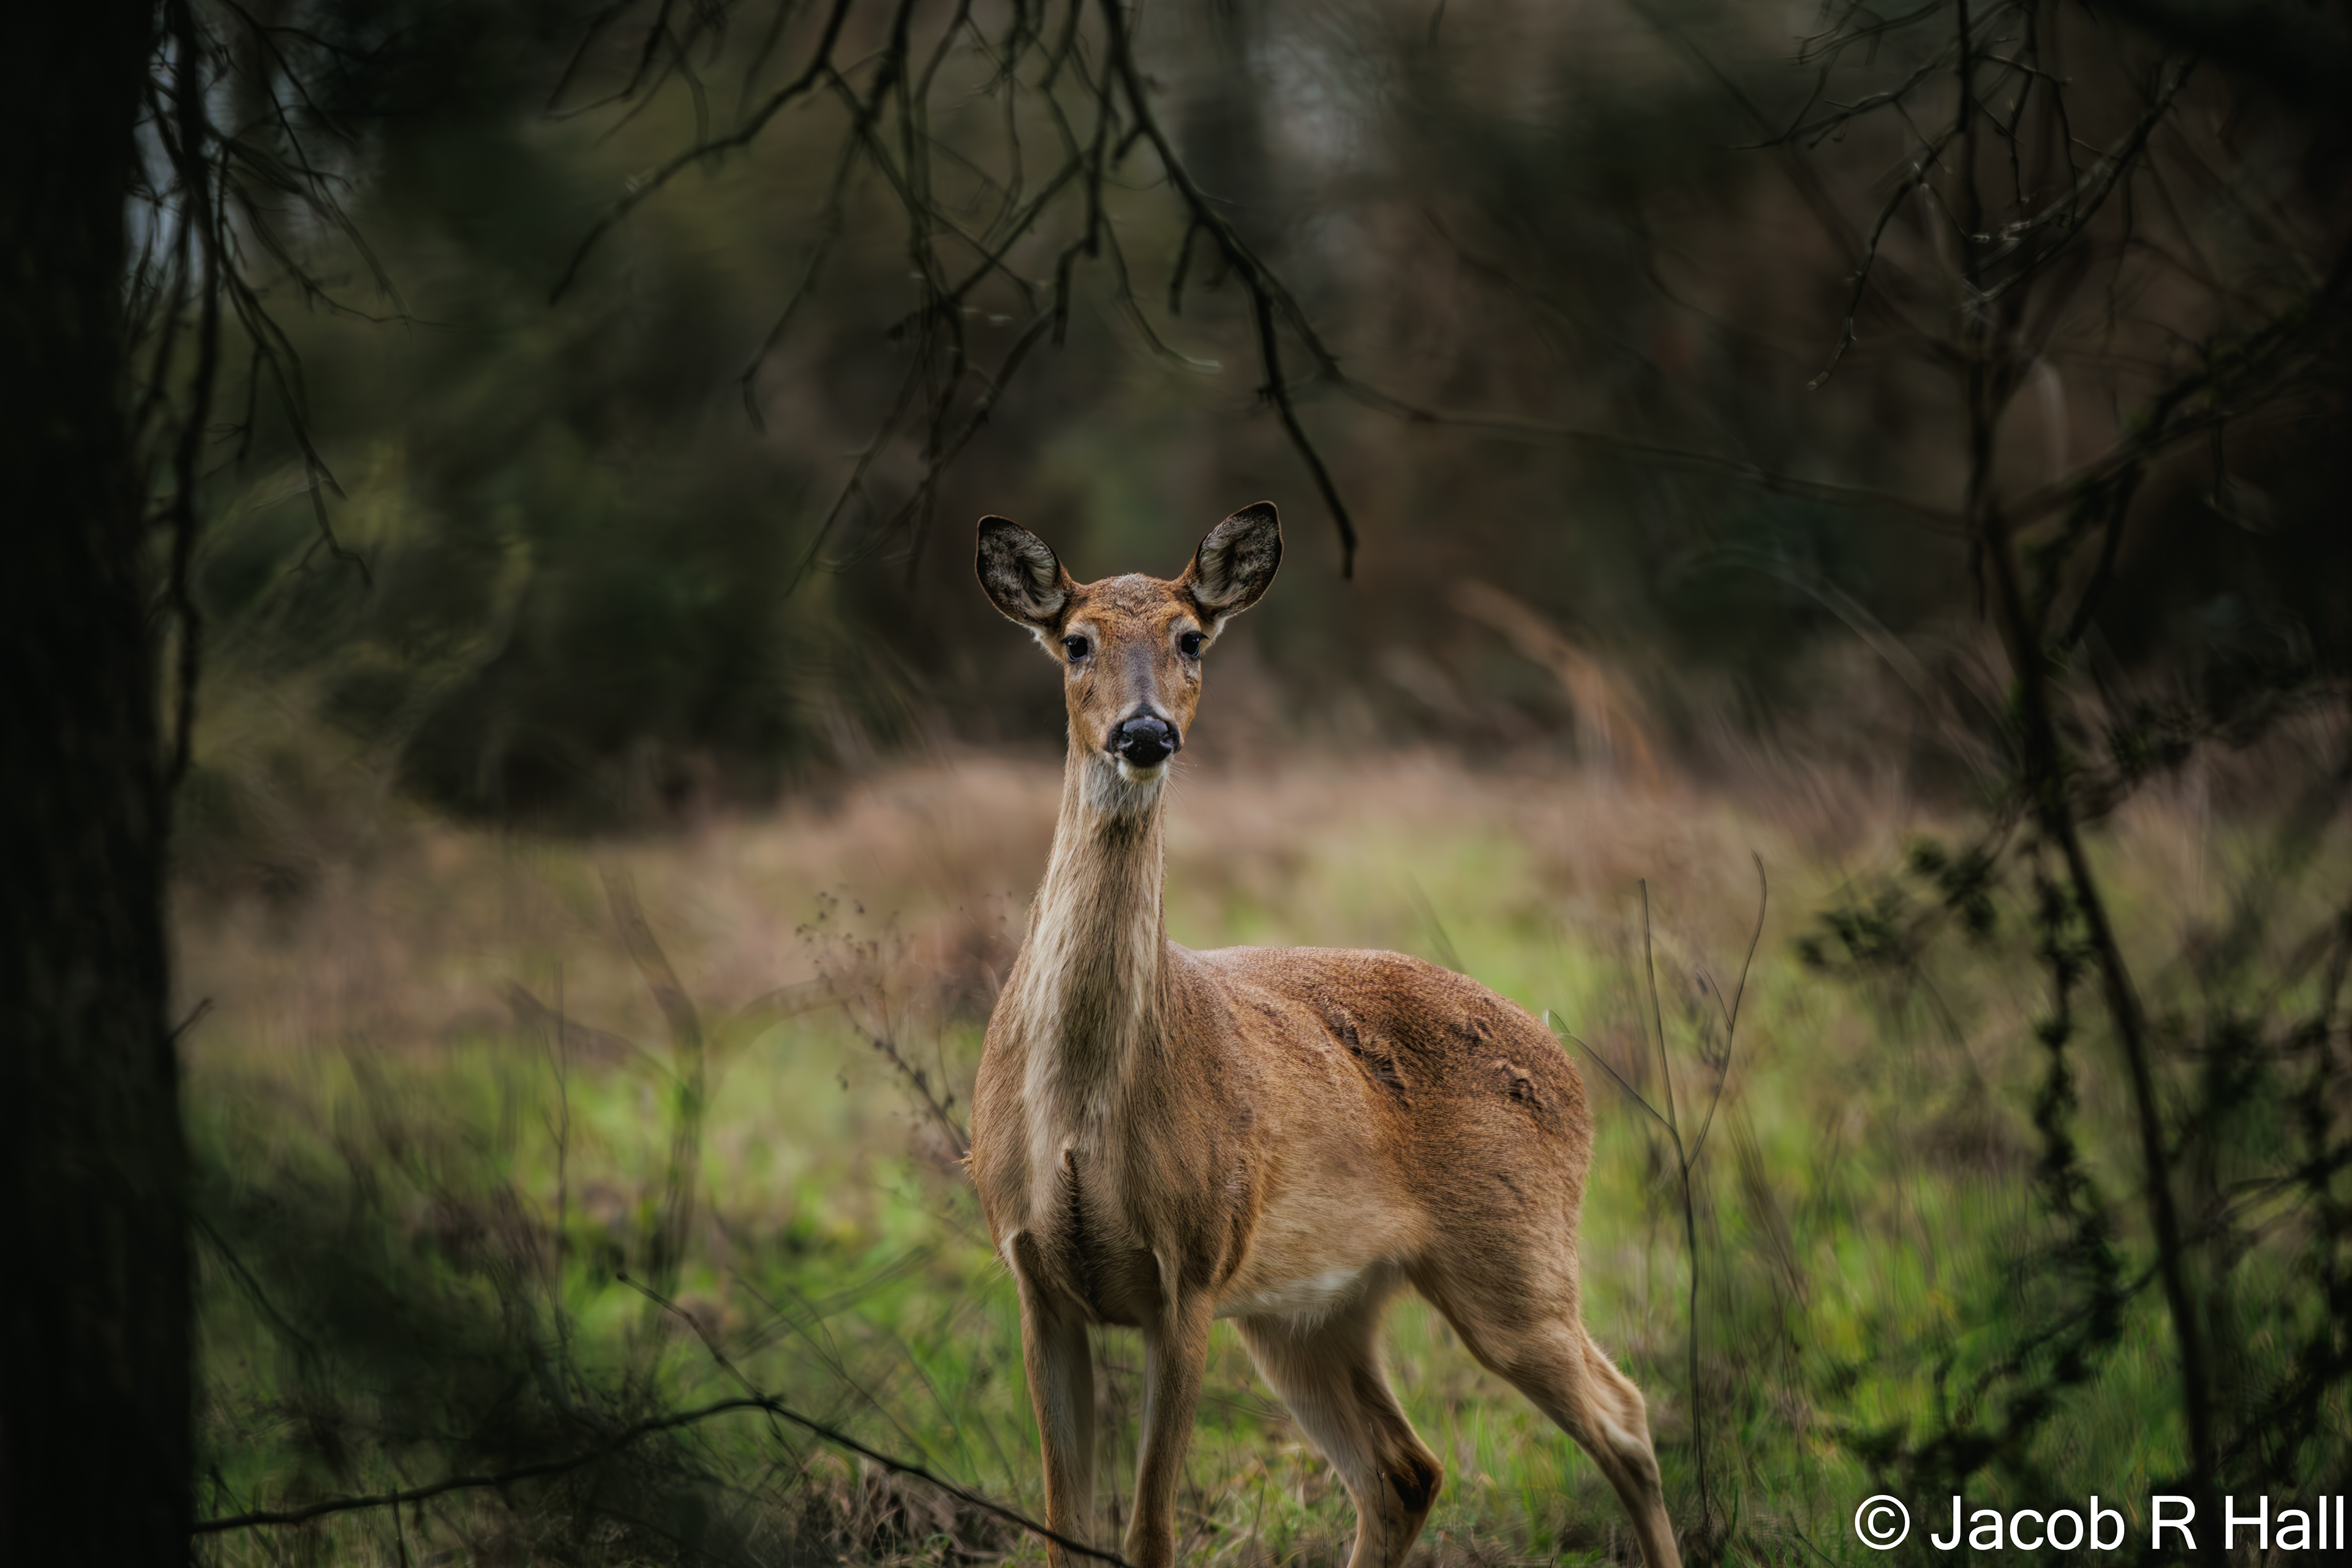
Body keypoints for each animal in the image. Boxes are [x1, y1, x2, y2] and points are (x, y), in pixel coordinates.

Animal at [968, 502, 1682, 1568]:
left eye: (1191, 638)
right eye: (1077, 642)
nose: (1146, 732)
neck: (1078, 1114)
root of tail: (1565, 1062)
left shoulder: (1193, 1272)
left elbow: (1148, 1533)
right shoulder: (1037, 1280)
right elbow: (1065, 1531)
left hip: (1516, 1260)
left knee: (1627, 1418)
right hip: (1313, 1309)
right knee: (1406, 1470)